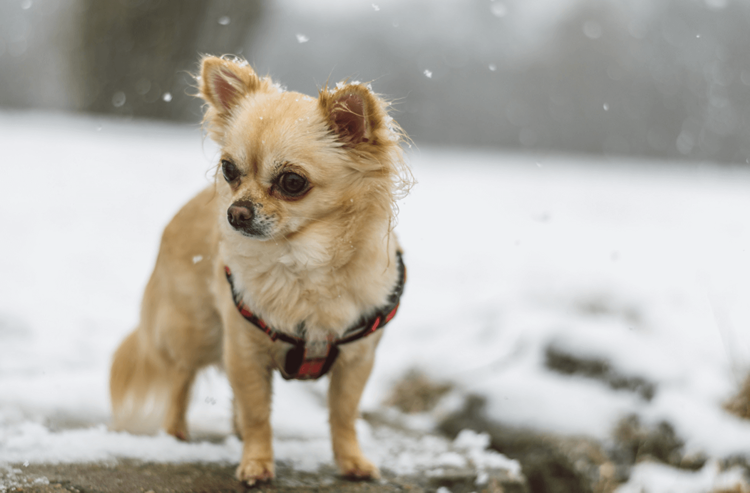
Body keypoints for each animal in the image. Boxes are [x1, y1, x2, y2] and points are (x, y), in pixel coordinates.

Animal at [111, 55, 414, 482]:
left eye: (292, 182)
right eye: (229, 170)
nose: (235, 211)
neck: (303, 264)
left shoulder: (356, 361)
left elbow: (343, 415)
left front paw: (350, 461)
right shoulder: (245, 351)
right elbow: (258, 413)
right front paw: (257, 463)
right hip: (196, 332)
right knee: (180, 380)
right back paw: (176, 435)